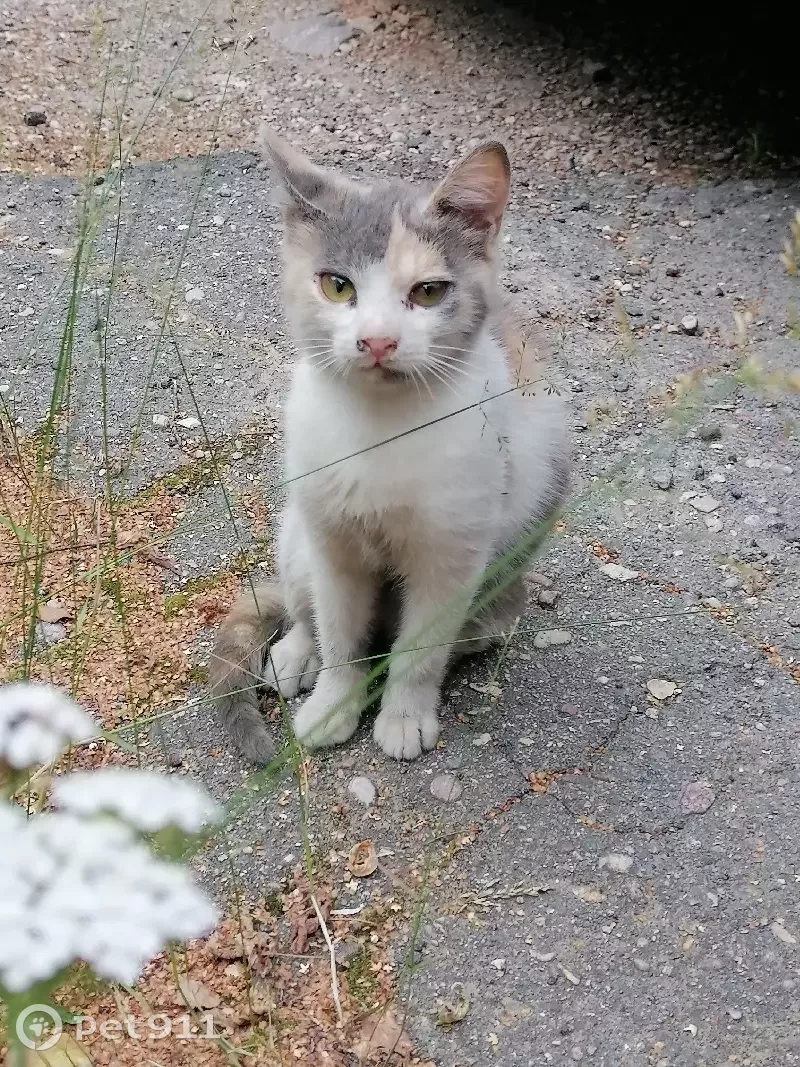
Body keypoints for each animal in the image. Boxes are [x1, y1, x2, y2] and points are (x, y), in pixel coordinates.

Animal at [210, 133, 567, 763]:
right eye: (337, 285)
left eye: (428, 292)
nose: (377, 340)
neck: (380, 429)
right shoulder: (333, 543)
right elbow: (338, 632)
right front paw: (333, 702)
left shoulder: (451, 556)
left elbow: (419, 650)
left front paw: (404, 714)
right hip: (298, 532)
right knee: (301, 606)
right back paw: (295, 653)